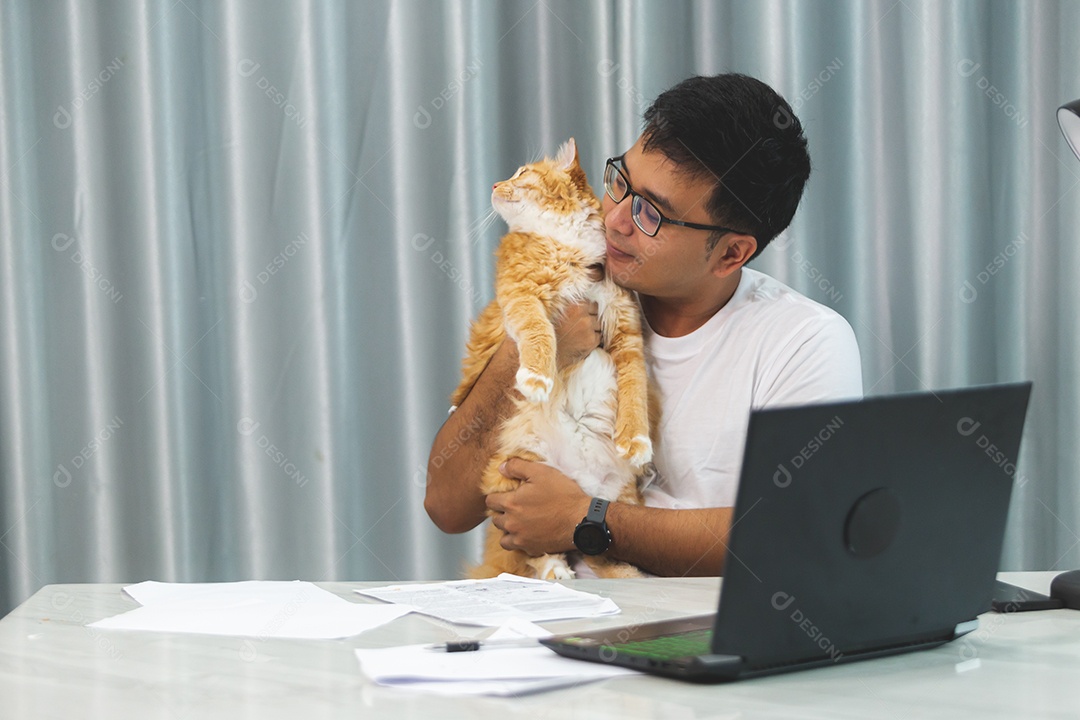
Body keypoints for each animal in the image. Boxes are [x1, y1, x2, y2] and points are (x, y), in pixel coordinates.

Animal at [453, 139, 652, 578]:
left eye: (522, 173)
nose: (494, 183)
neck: (566, 243)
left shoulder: (626, 329)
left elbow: (636, 391)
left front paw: (636, 440)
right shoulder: (522, 294)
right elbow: (539, 332)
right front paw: (537, 379)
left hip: (618, 495)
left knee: (597, 547)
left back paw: (627, 573)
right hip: (516, 471)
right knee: (536, 551)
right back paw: (555, 571)